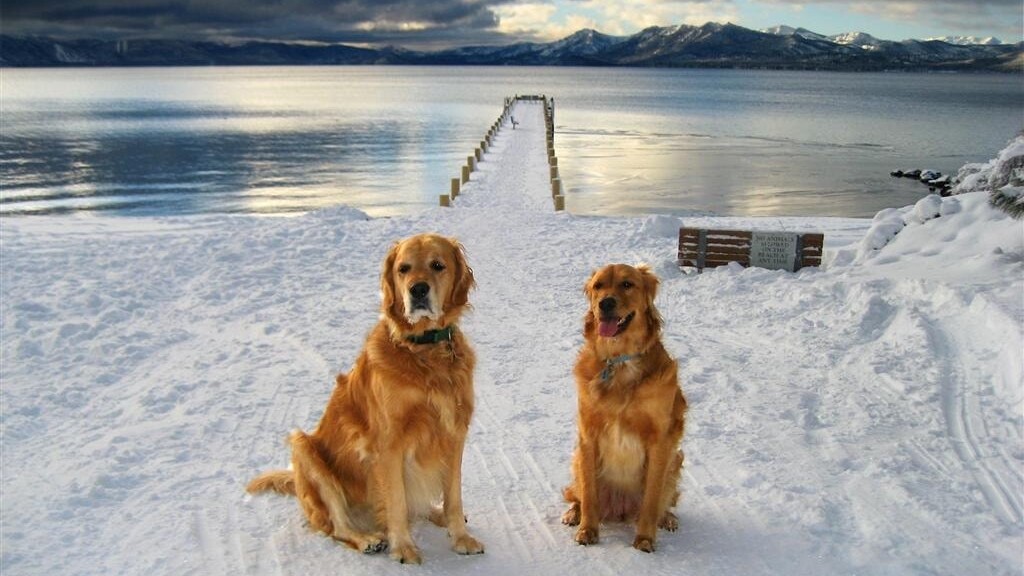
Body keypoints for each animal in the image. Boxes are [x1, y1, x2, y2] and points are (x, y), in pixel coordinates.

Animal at [249, 231, 485, 561]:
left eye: (438, 265)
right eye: (403, 269)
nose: (418, 289)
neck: (423, 350)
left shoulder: (454, 432)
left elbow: (453, 496)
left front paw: (461, 537)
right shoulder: (388, 443)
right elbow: (396, 502)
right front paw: (403, 548)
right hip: (304, 449)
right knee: (337, 528)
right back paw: (367, 538)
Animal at [561, 262, 688, 549]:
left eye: (627, 284)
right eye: (598, 286)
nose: (605, 303)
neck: (619, 361)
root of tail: (619, 510)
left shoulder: (660, 440)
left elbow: (651, 499)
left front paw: (645, 539)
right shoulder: (588, 434)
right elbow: (589, 494)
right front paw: (588, 530)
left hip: (675, 460)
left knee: (663, 502)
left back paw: (668, 519)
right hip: (576, 459)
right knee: (577, 495)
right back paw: (573, 514)